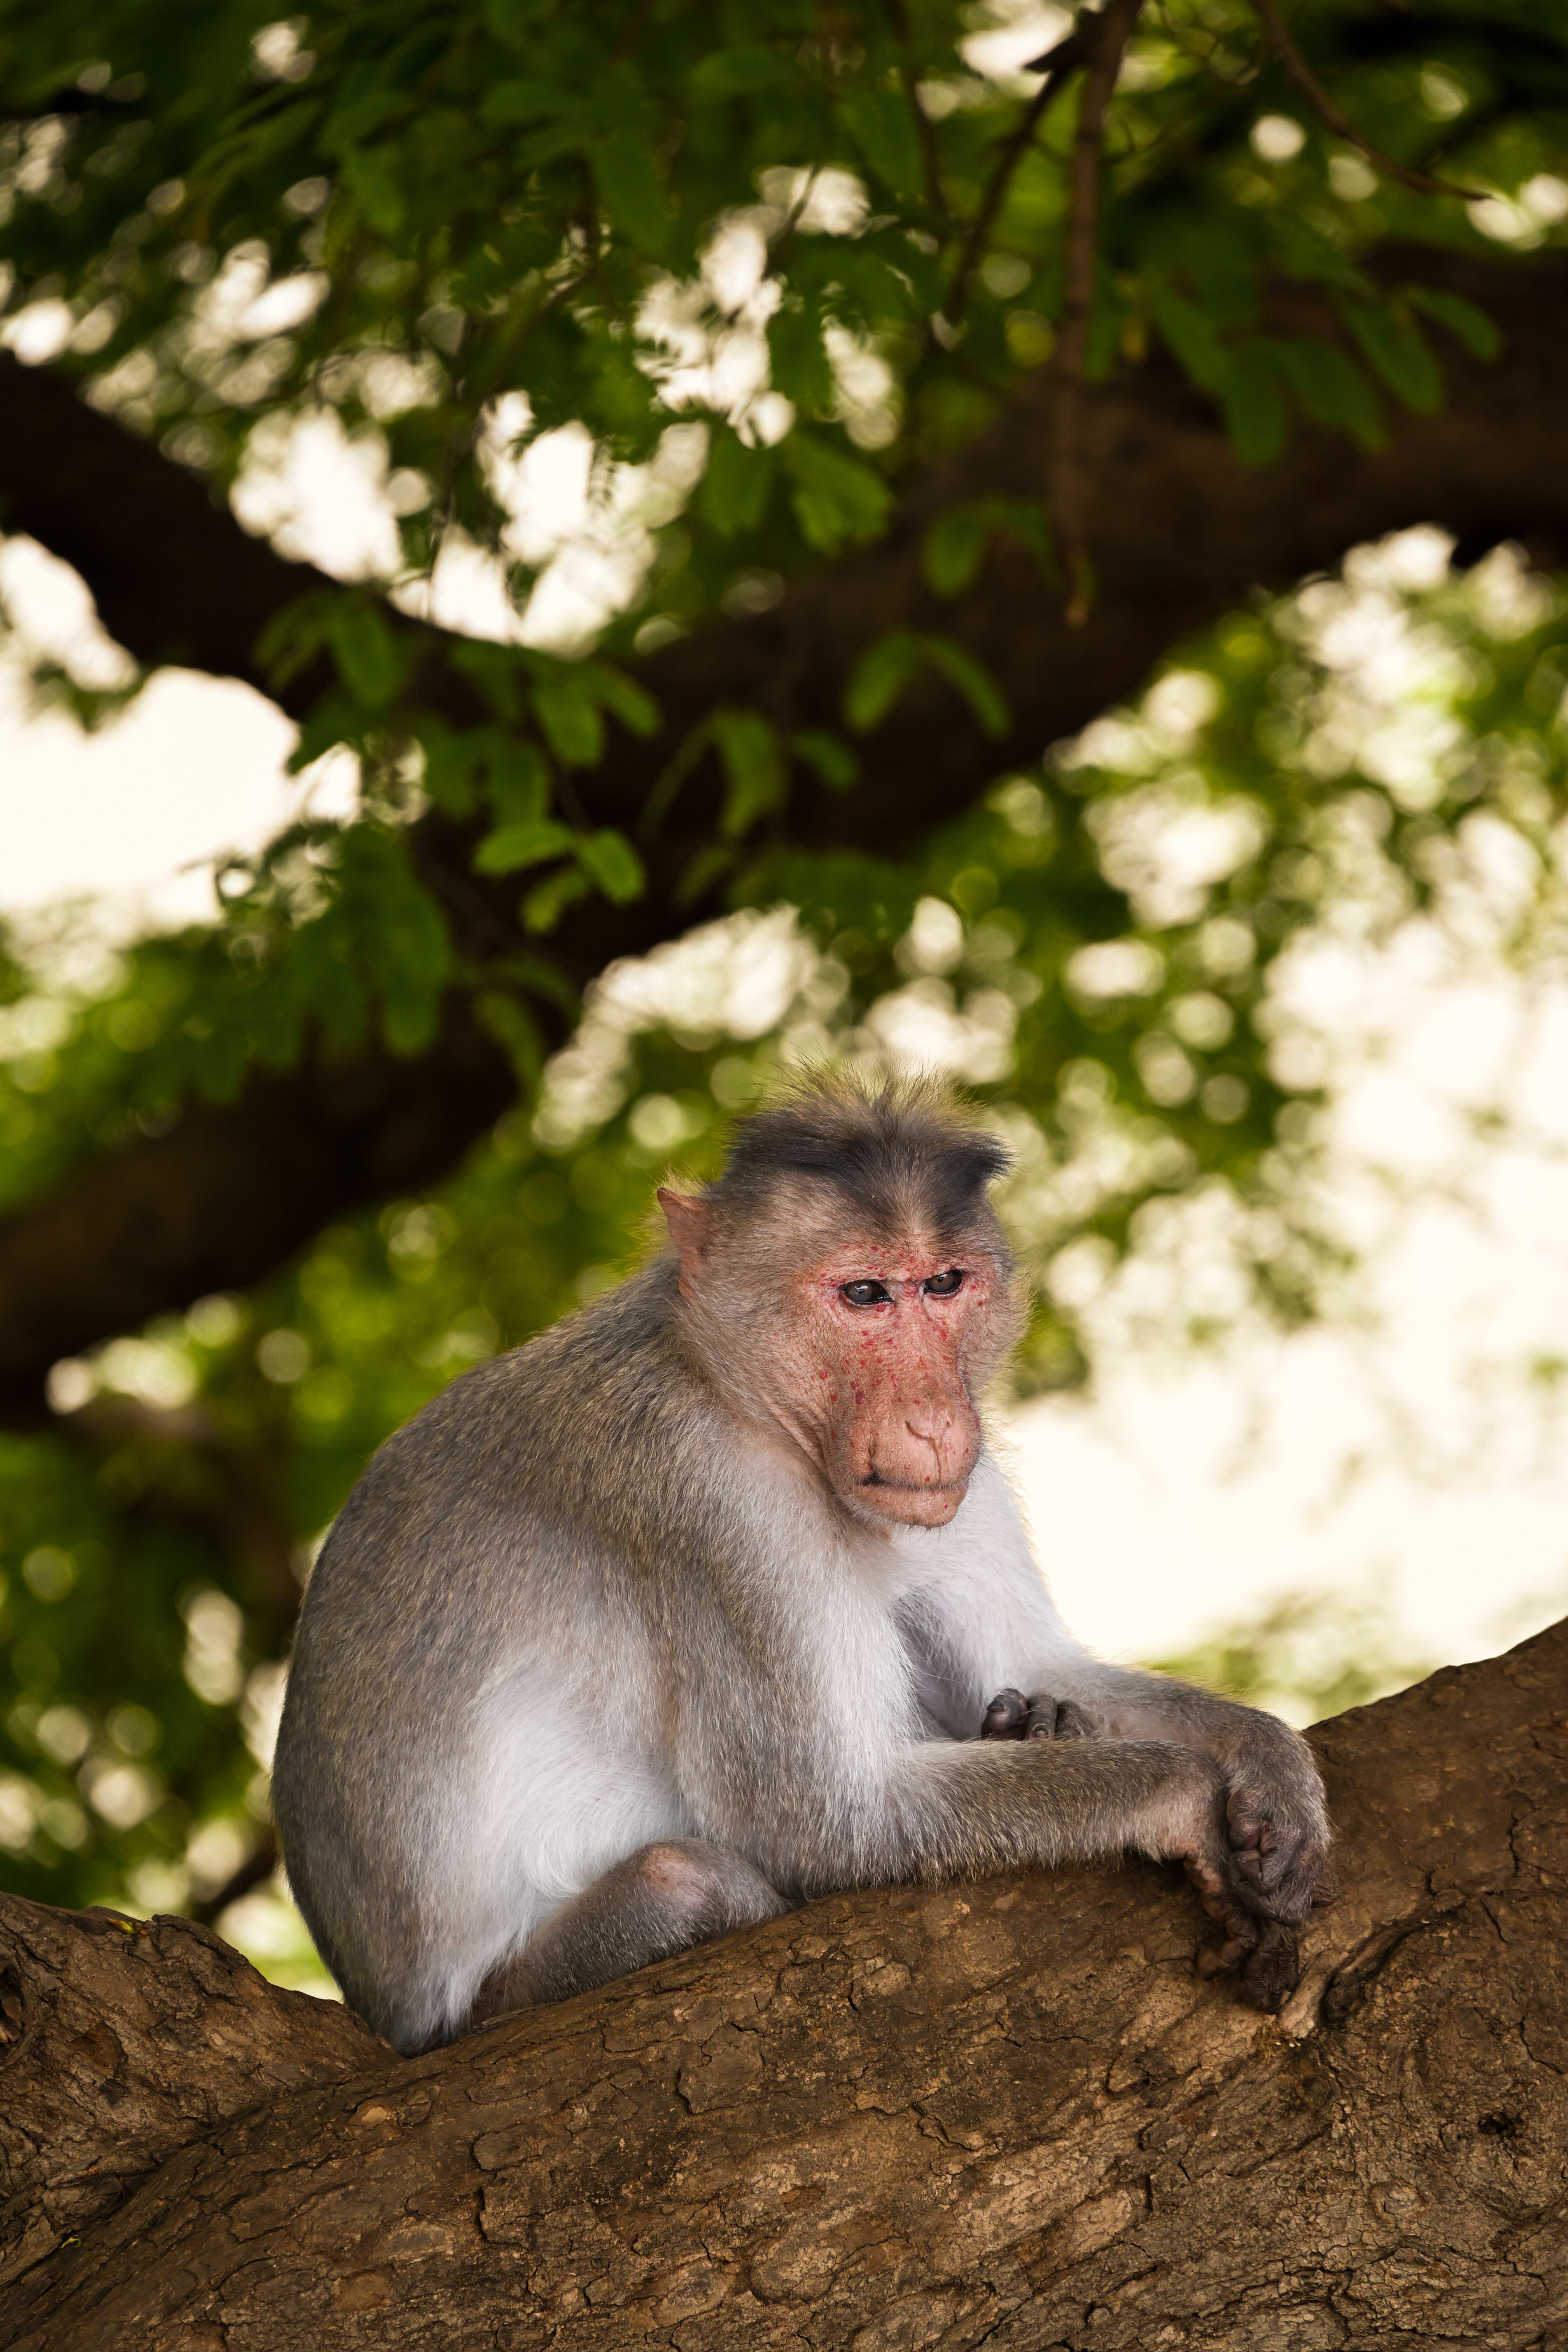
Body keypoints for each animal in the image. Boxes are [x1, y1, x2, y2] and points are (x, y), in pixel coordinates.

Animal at [271, 1077, 1332, 2056]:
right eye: (864, 1294)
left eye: (944, 1284)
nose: (934, 1420)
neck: (741, 1390)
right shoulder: (709, 1502)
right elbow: (824, 1818)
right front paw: (1181, 1793)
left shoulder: (960, 1486)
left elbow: (1033, 1663)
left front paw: (1266, 1759)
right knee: (688, 1879)